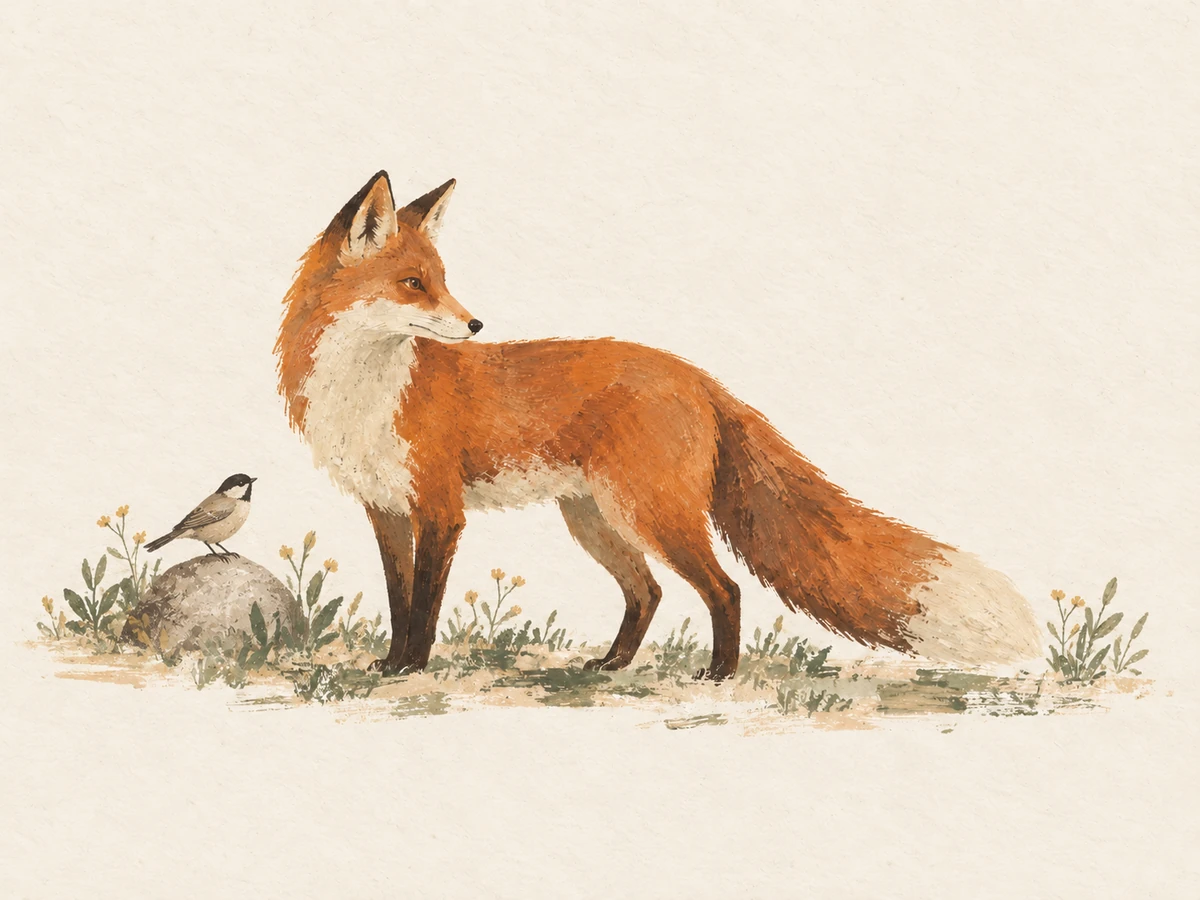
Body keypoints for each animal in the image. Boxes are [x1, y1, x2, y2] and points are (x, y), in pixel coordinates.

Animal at [275, 170, 1042, 678]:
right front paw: (389, 664)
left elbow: (426, 607)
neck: (366, 392)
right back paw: (609, 665)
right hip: (595, 518)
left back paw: (719, 675)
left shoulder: (439, 508)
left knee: (722, 589)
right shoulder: (385, 509)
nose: (474, 325)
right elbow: (400, 599)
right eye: (414, 284)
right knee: (648, 592)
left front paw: (410, 669)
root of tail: (695, 375)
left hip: (649, 511)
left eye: (440, 280)